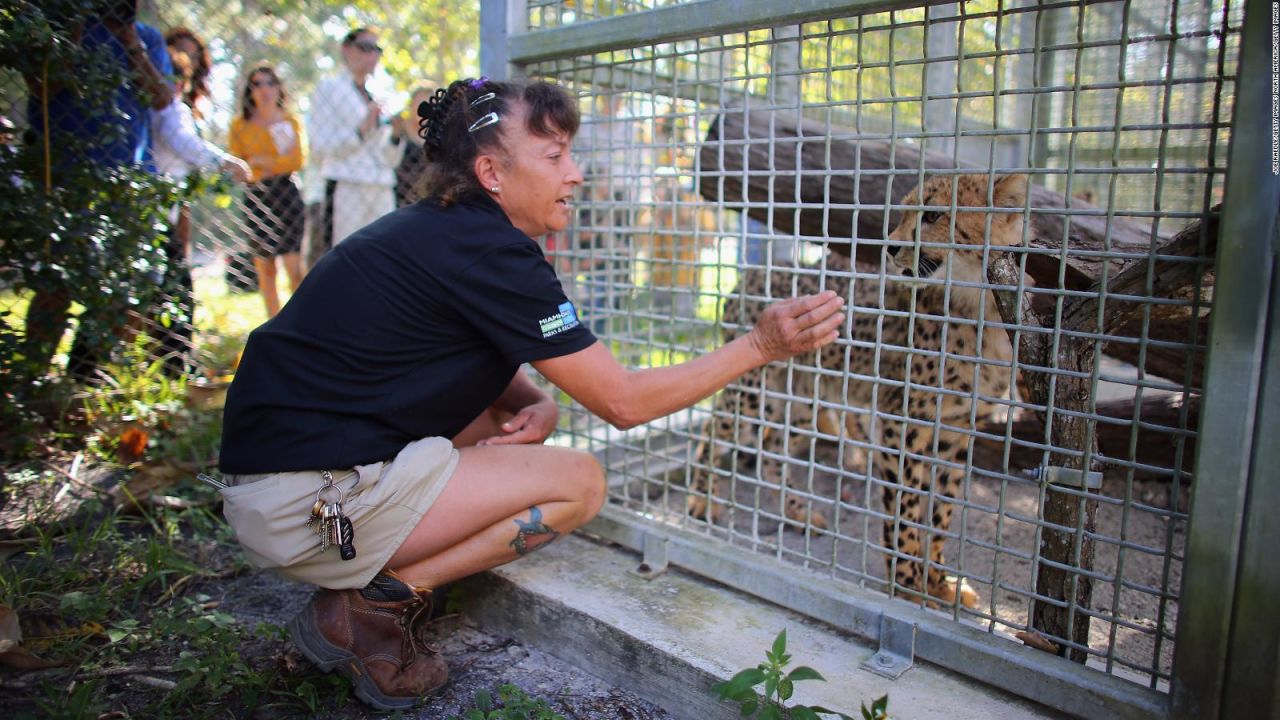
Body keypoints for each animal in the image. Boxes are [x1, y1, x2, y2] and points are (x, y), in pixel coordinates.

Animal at [686, 172, 1024, 604]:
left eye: (933, 214)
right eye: (904, 212)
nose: (892, 247)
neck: (976, 305)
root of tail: (751, 273)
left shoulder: (957, 428)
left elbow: (940, 512)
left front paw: (939, 582)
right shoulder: (904, 423)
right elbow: (906, 509)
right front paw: (907, 584)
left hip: (802, 397)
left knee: (772, 447)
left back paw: (797, 512)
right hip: (752, 389)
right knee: (714, 431)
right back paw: (702, 501)